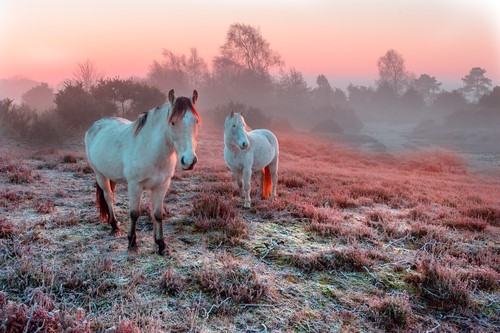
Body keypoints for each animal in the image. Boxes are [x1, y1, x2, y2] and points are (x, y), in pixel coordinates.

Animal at [84, 88, 199, 254]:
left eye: (196, 121)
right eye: (172, 122)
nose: (189, 160)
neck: (151, 149)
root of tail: (95, 126)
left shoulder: (162, 185)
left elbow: (158, 214)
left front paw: (161, 245)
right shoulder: (135, 186)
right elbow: (134, 213)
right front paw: (132, 244)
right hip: (100, 175)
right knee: (109, 197)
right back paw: (115, 227)